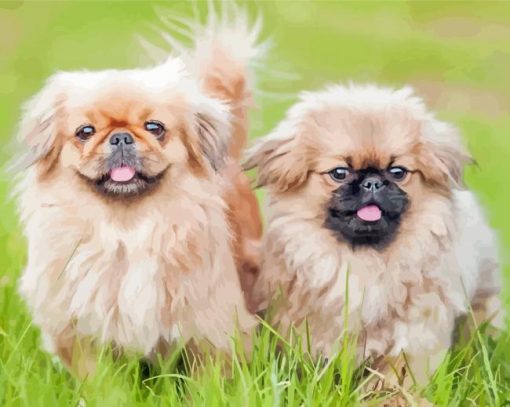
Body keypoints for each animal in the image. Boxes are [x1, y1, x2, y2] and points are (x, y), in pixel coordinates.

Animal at [15, 12, 262, 376]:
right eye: (85, 132)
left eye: (154, 128)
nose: (120, 136)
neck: (126, 228)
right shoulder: (81, 329)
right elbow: (98, 377)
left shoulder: (210, 323)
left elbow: (209, 375)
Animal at [245, 83, 504, 388]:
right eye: (339, 173)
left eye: (397, 172)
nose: (372, 182)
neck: (365, 260)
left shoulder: (414, 334)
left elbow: (396, 377)